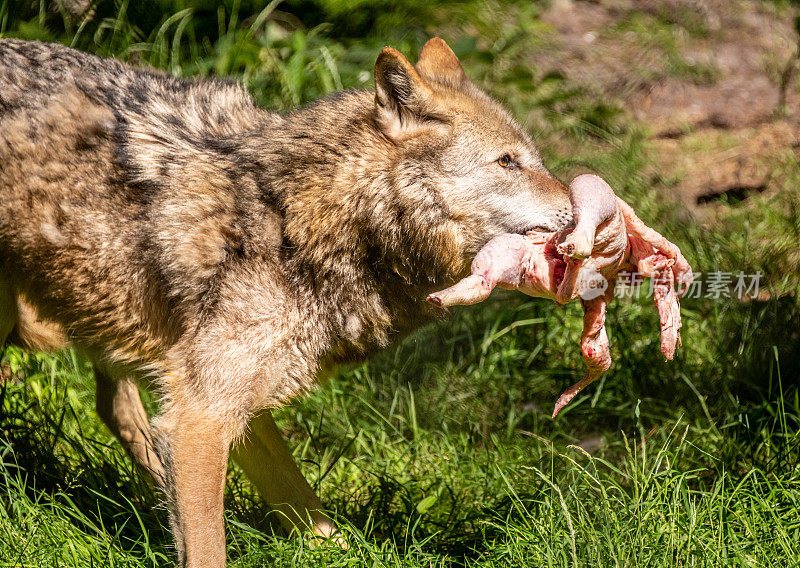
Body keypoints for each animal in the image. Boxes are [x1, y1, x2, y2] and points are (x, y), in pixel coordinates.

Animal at [1, 37, 576, 564]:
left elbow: (309, 511)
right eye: (507, 162)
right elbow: (209, 546)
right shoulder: (200, 417)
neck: (294, 220)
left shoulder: (236, 406)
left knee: (116, 410)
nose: (579, 205)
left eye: (533, 159)